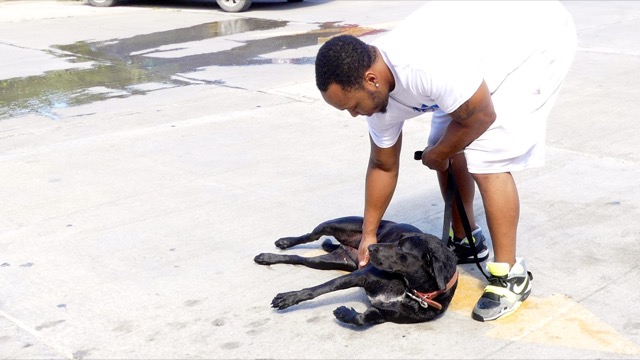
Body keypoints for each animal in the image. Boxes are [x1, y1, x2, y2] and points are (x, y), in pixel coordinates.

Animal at [252, 217, 458, 326]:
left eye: (401, 248)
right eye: (398, 239)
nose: (371, 247)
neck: (410, 290)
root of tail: (346, 248)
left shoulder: (382, 314)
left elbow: (362, 318)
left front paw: (345, 313)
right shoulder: (360, 276)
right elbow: (321, 288)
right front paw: (290, 297)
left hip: (324, 262)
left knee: (297, 258)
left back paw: (270, 257)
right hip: (333, 225)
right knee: (309, 236)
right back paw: (284, 242)